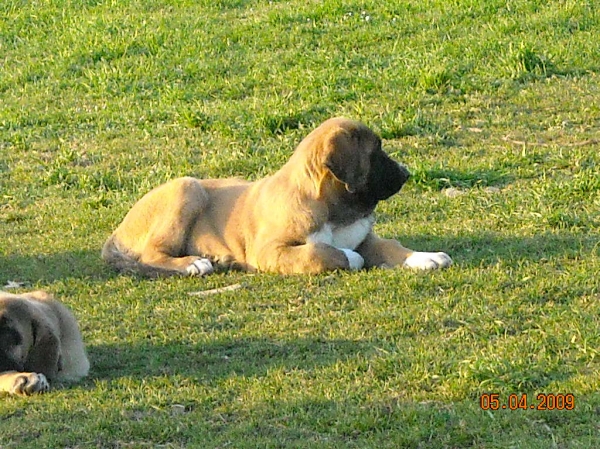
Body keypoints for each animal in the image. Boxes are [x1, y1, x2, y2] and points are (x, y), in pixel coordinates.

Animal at [102, 117, 450, 274]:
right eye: (375, 152)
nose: (406, 173)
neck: (334, 212)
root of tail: (116, 233)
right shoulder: (271, 250)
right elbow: (320, 252)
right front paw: (349, 258)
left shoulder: (365, 238)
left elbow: (392, 246)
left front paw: (425, 256)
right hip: (187, 187)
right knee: (152, 254)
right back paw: (194, 263)